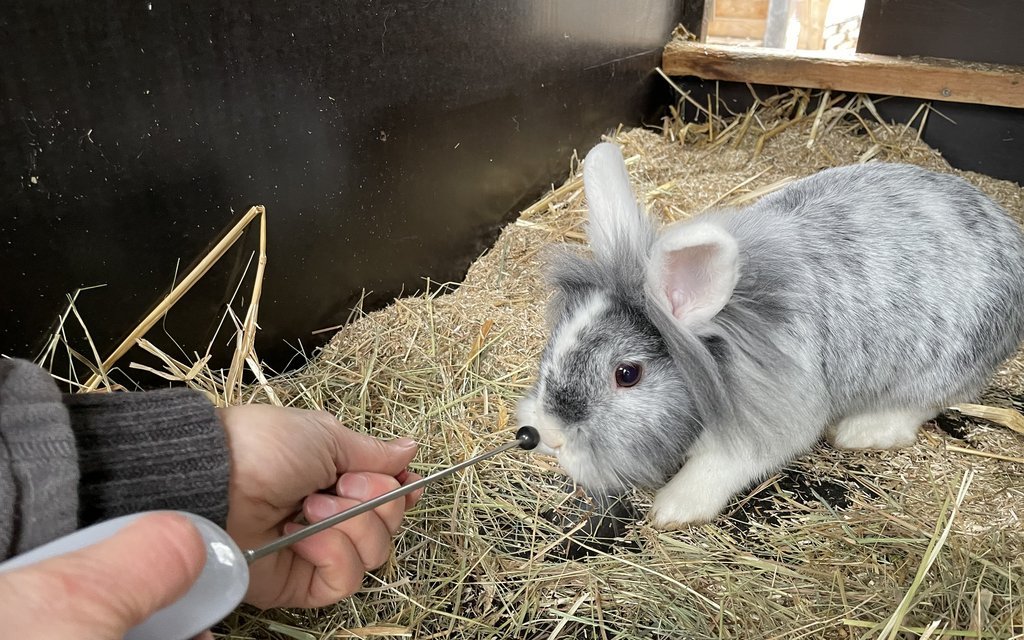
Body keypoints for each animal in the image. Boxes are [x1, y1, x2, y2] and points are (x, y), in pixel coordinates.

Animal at [516, 141, 1024, 524]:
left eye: (627, 374)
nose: (547, 436)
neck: (723, 349)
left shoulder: (773, 422)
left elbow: (716, 468)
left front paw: (671, 510)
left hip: (942, 365)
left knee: (925, 403)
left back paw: (860, 432)